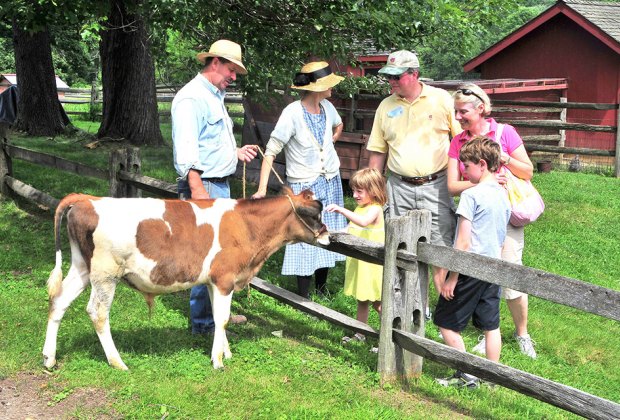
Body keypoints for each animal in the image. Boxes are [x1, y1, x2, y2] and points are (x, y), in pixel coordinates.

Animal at [42, 187, 330, 368]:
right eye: (315, 214)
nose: (329, 236)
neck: (246, 226)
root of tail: (87, 200)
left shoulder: (214, 281)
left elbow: (217, 317)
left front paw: (225, 351)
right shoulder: (225, 279)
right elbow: (223, 318)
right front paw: (218, 362)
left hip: (82, 266)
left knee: (58, 300)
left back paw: (49, 357)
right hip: (105, 273)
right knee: (97, 312)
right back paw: (117, 362)